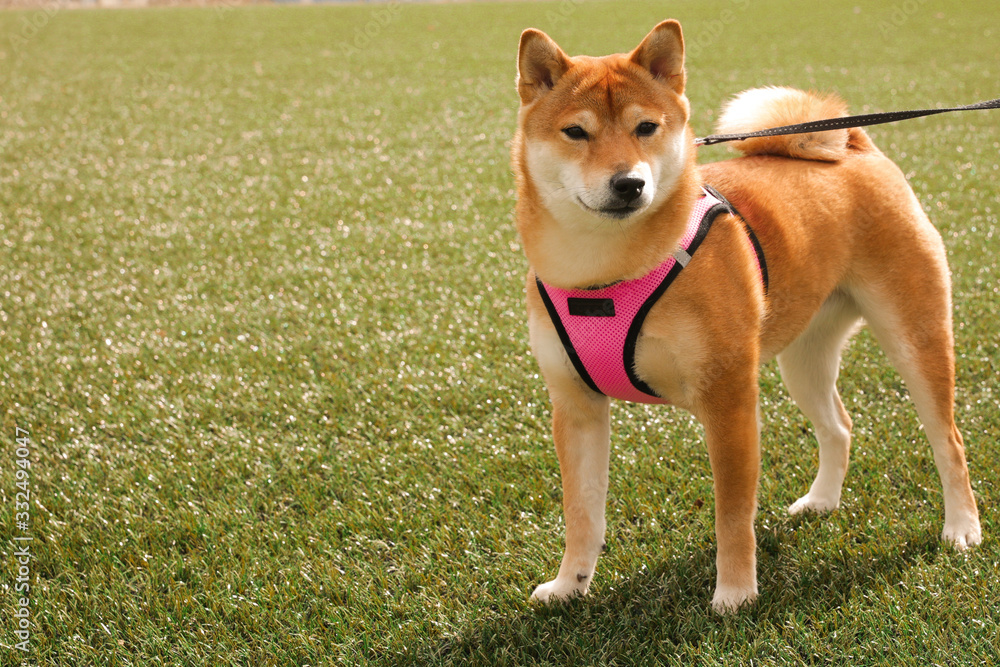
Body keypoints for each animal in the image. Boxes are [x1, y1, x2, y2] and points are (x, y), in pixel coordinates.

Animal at [512, 19, 980, 616]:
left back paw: (962, 527)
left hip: (914, 335)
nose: (629, 183)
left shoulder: (728, 397)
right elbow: (581, 513)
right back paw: (822, 501)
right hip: (804, 358)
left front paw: (734, 593)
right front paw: (570, 585)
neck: (603, 274)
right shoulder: (575, 405)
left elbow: (732, 514)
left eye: (646, 127)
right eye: (576, 132)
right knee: (839, 426)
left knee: (949, 441)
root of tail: (855, 147)